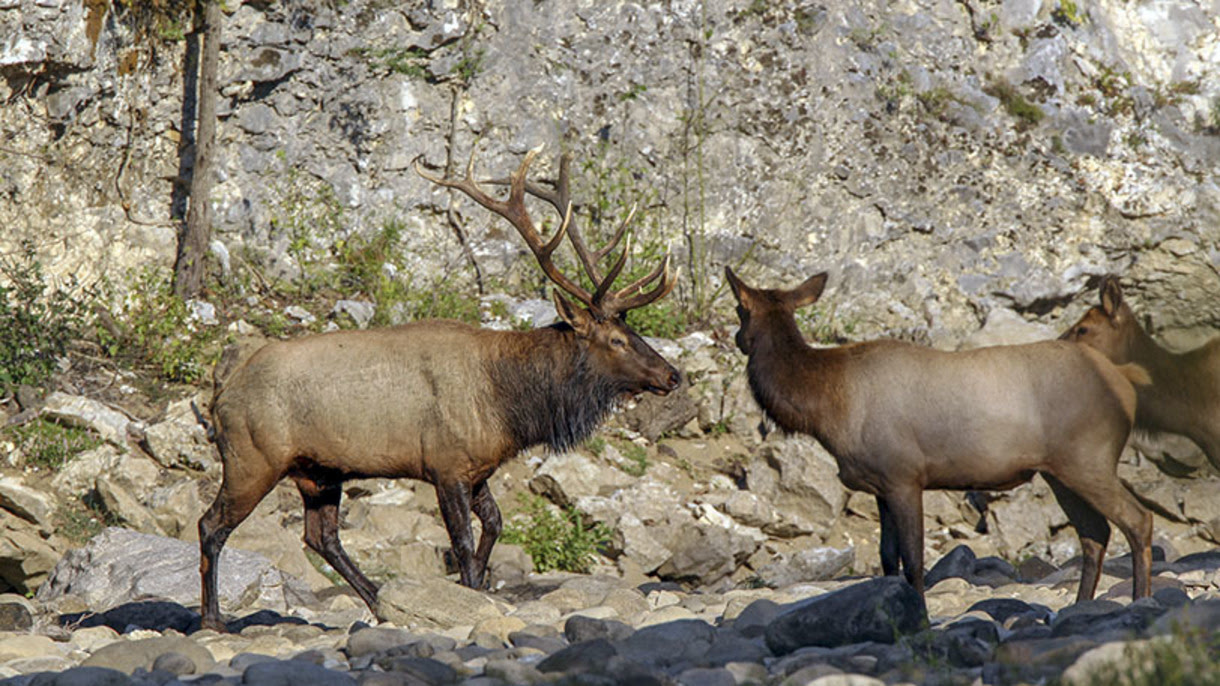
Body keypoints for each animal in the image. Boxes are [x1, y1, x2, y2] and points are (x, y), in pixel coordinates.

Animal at [196, 147, 680, 632]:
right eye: (616, 340)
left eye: (632, 330)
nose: (673, 375)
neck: (509, 406)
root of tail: (220, 395)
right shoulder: (445, 464)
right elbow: (462, 541)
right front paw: (469, 596)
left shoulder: (477, 467)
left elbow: (495, 524)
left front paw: (479, 587)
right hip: (251, 459)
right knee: (211, 525)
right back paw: (213, 618)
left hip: (318, 471)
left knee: (321, 537)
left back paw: (377, 600)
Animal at [725, 267, 1154, 603]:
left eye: (739, 310)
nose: (736, 338)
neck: (826, 408)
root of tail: (1127, 382)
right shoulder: (880, 485)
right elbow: (887, 559)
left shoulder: (904, 475)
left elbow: (914, 562)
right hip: (1059, 471)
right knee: (1095, 533)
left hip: (1087, 457)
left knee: (1138, 519)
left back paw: (1140, 599)